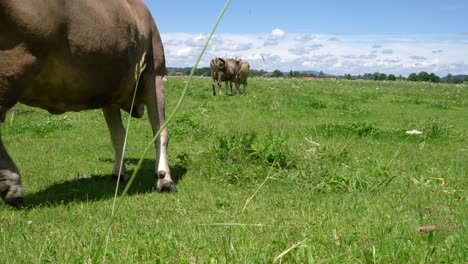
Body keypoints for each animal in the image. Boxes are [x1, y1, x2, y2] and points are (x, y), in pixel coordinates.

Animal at [0, 0, 176, 208]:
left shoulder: (113, 90)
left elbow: (120, 136)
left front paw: (122, 173)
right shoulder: (154, 73)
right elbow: (158, 131)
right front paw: (165, 179)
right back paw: (10, 183)